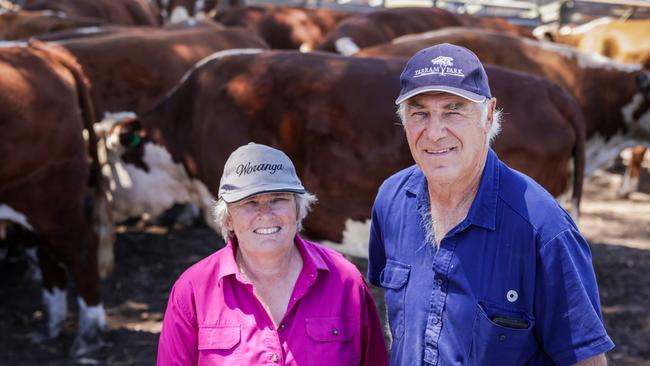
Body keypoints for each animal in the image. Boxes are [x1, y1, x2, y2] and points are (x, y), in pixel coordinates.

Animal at [0, 40, 112, 354]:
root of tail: (41, 51)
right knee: (48, 251)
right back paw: (52, 323)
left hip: (47, 197)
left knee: (81, 246)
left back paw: (88, 333)